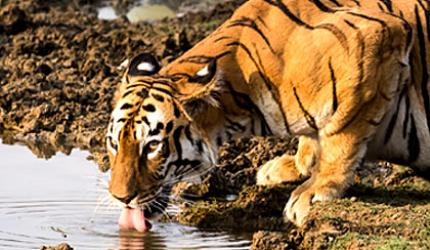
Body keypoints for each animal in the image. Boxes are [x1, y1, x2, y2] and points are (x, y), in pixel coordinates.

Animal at [106, 0, 430, 231]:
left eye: (152, 146)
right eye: (114, 143)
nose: (120, 198)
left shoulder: (377, 38)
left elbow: (341, 135)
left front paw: (313, 191)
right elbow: (312, 139)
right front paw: (289, 167)